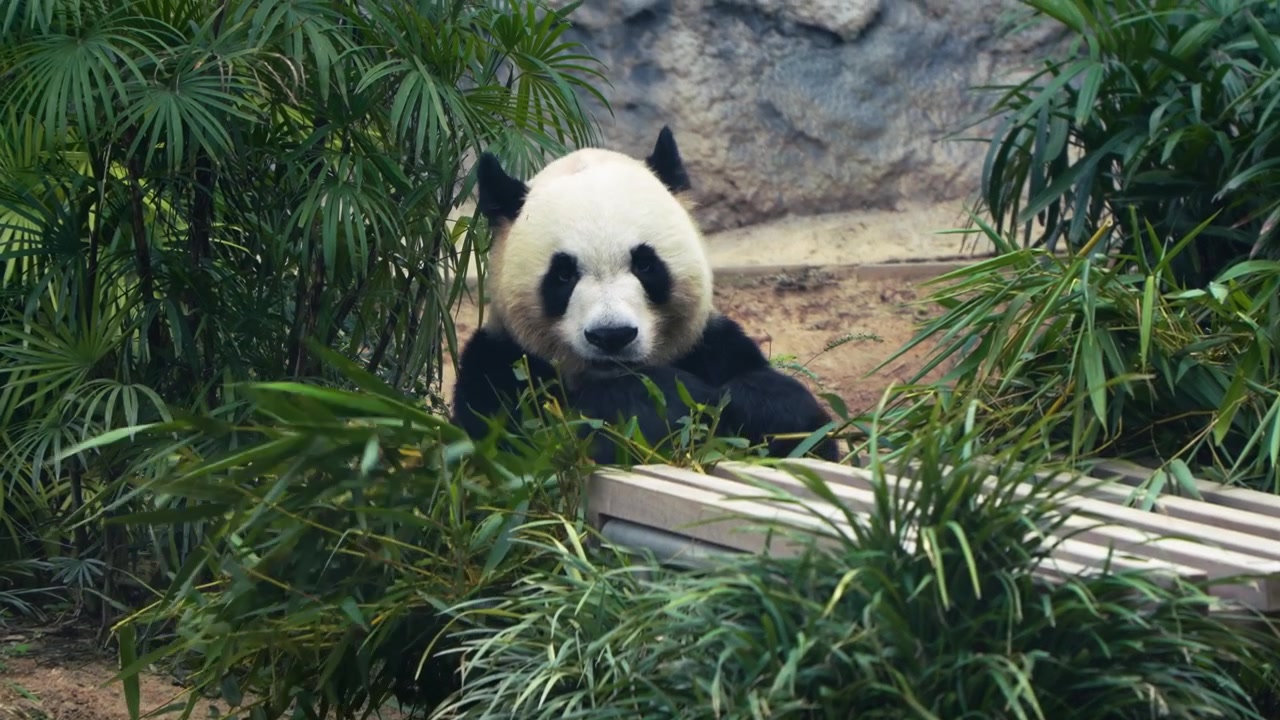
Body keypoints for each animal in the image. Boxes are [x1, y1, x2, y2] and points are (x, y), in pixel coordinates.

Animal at [450, 126, 840, 463]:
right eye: (563, 274)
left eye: (645, 264)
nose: (611, 335)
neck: (610, 374)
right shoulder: (500, 373)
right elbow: (528, 451)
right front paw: (658, 400)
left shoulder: (710, 346)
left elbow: (801, 430)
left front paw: (747, 405)